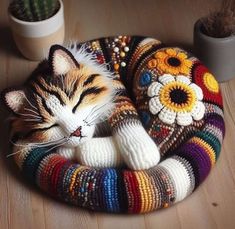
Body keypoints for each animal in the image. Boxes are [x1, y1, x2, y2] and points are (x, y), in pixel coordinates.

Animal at [1, 35, 203, 170]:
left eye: (76, 104)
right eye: (50, 127)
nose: (76, 131)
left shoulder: (117, 86)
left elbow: (125, 117)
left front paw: (141, 155)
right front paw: (68, 150)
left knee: (161, 139)